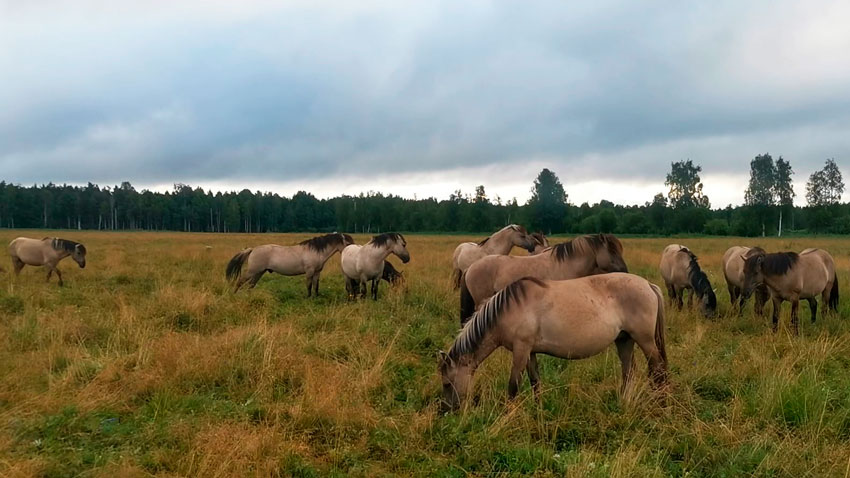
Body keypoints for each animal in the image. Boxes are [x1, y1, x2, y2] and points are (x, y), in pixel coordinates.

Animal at [224, 232, 352, 296]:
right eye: (348, 243)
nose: (352, 252)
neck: (315, 251)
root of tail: (253, 249)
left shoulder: (317, 272)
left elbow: (316, 286)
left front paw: (316, 297)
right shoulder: (309, 271)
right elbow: (309, 285)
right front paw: (308, 297)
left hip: (259, 272)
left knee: (251, 285)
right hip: (253, 271)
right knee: (240, 281)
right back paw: (234, 295)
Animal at [438, 272, 668, 410]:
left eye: (447, 383)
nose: (446, 411)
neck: (507, 309)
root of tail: (648, 284)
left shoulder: (521, 350)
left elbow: (513, 385)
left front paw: (507, 414)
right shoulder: (529, 352)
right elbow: (535, 382)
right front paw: (538, 410)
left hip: (646, 341)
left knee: (657, 370)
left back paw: (660, 405)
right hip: (624, 340)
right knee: (629, 372)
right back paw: (624, 403)